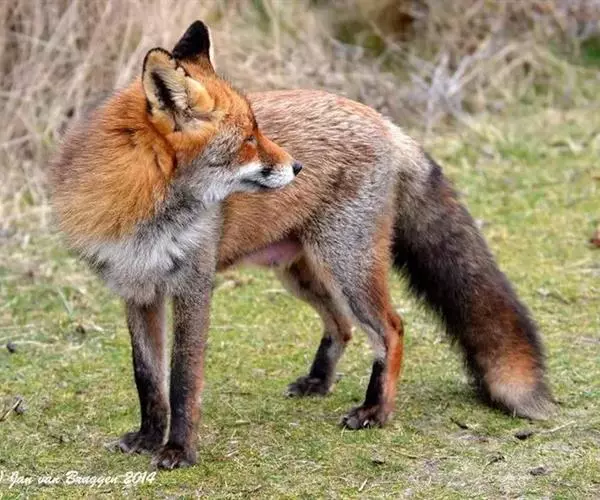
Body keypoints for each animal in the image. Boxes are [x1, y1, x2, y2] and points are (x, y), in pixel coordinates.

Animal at [51, 21, 555, 469]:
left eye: (258, 130)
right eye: (249, 139)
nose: (297, 167)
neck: (141, 208)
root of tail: (385, 122)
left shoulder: (193, 287)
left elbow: (183, 380)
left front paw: (178, 451)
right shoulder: (137, 292)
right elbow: (148, 379)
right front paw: (148, 438)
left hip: (346, 264)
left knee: (390, 329)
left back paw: (377, 411)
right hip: (301, 272)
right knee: (343, 325)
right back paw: (319, 381)